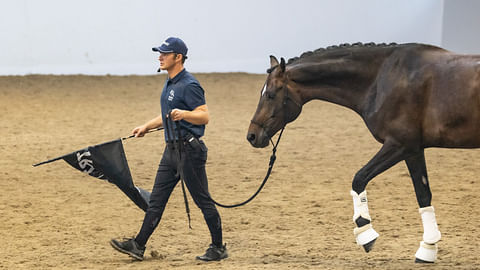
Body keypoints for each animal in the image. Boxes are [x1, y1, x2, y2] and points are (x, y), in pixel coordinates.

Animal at [246, 42, 480, 264]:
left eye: (270, 95)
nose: (252, 136)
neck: (383, 78)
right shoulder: (414, 150)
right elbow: (423, 194)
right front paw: (427, 249)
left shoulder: (399, 144)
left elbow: (359, 178)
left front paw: (365, 233)